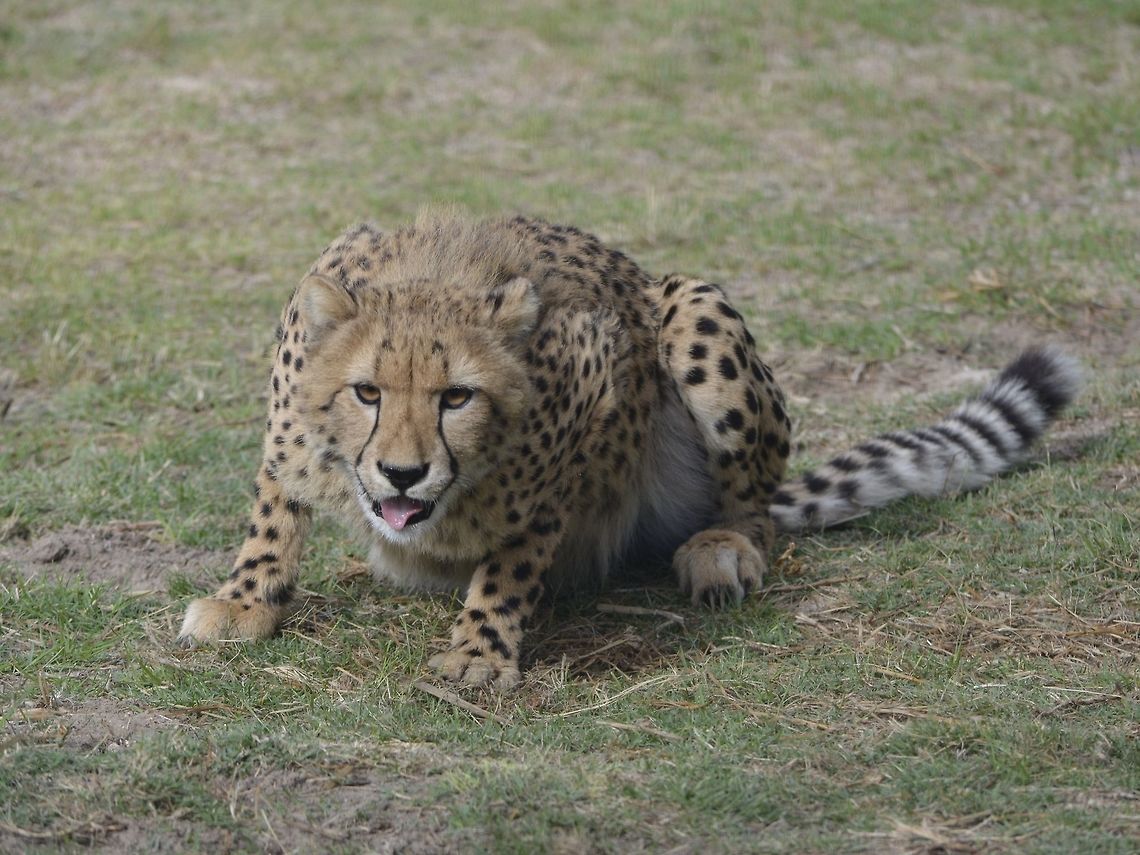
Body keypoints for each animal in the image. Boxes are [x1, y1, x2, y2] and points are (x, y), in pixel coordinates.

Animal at [177, 212, 1081, 688]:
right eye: (366, 392)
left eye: (455, 397)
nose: (403, 471)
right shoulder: (290, 423)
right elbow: (272, 509)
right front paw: (246, 598)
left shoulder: (594, 390)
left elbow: (514, 557)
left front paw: (480, 646)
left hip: (691, 307)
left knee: (753, 509)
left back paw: (720, 550)